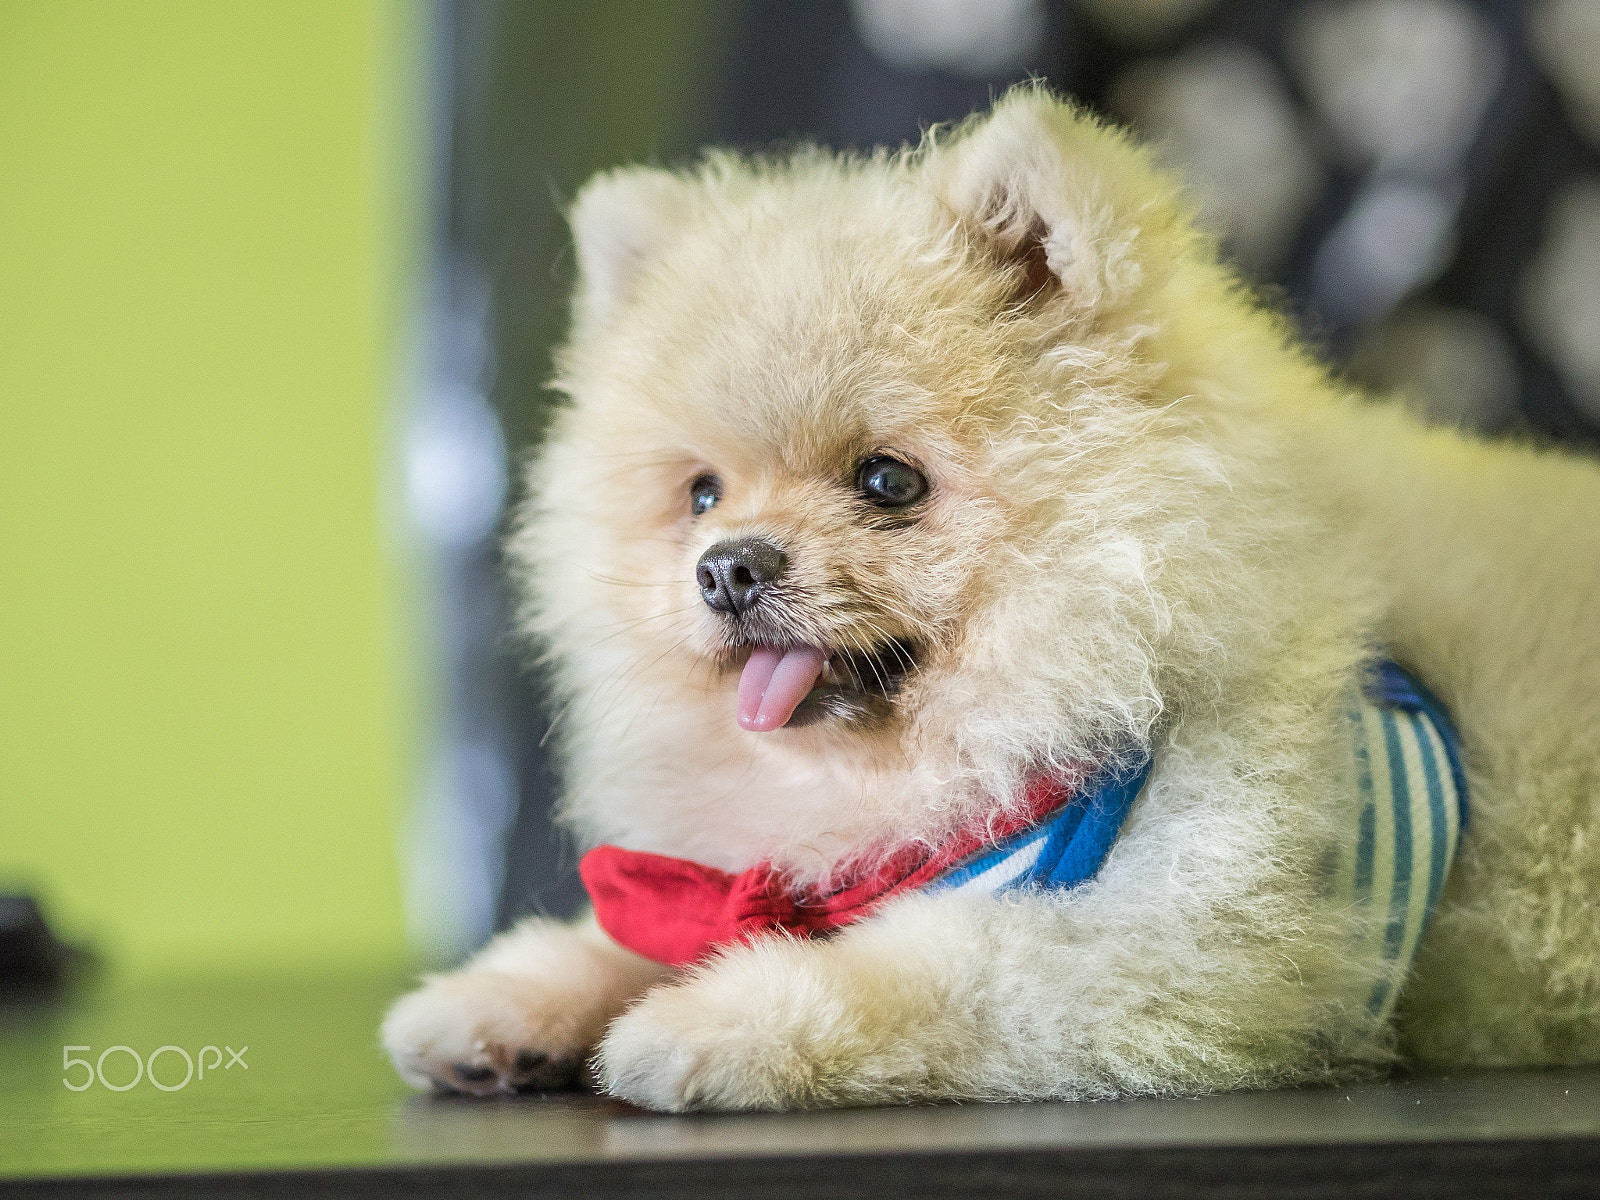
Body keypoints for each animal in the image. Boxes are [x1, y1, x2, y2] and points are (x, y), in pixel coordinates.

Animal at [384, 89, 1600, 1113]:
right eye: (701, 495)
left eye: (888, 481)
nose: (726, 566)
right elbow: (651, 920)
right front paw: (508, 998)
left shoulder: (1191, 949)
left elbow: (927, 969)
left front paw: (700, 1025)